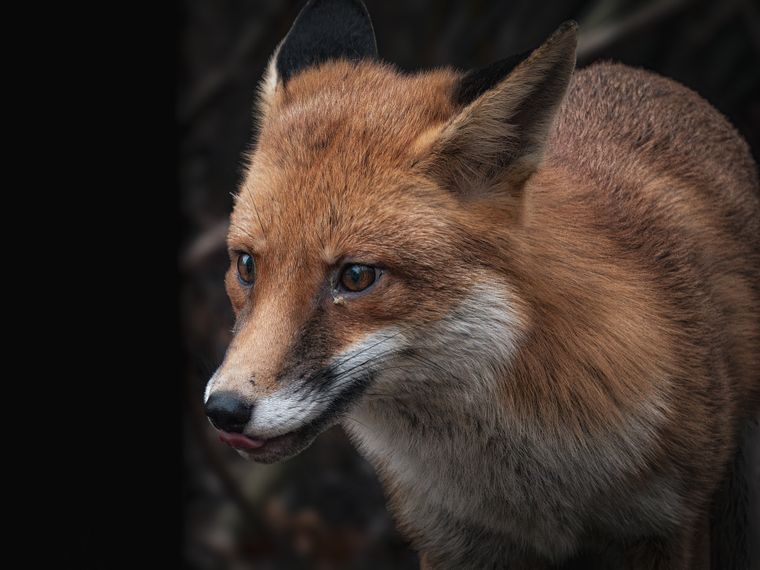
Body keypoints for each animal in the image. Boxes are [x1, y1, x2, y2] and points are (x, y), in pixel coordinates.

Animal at [202, 0, 760, 567]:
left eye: (356, 276)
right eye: (246, 266)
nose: (224, 411)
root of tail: (641, 75)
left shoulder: (667, 524)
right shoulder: (450, 538)